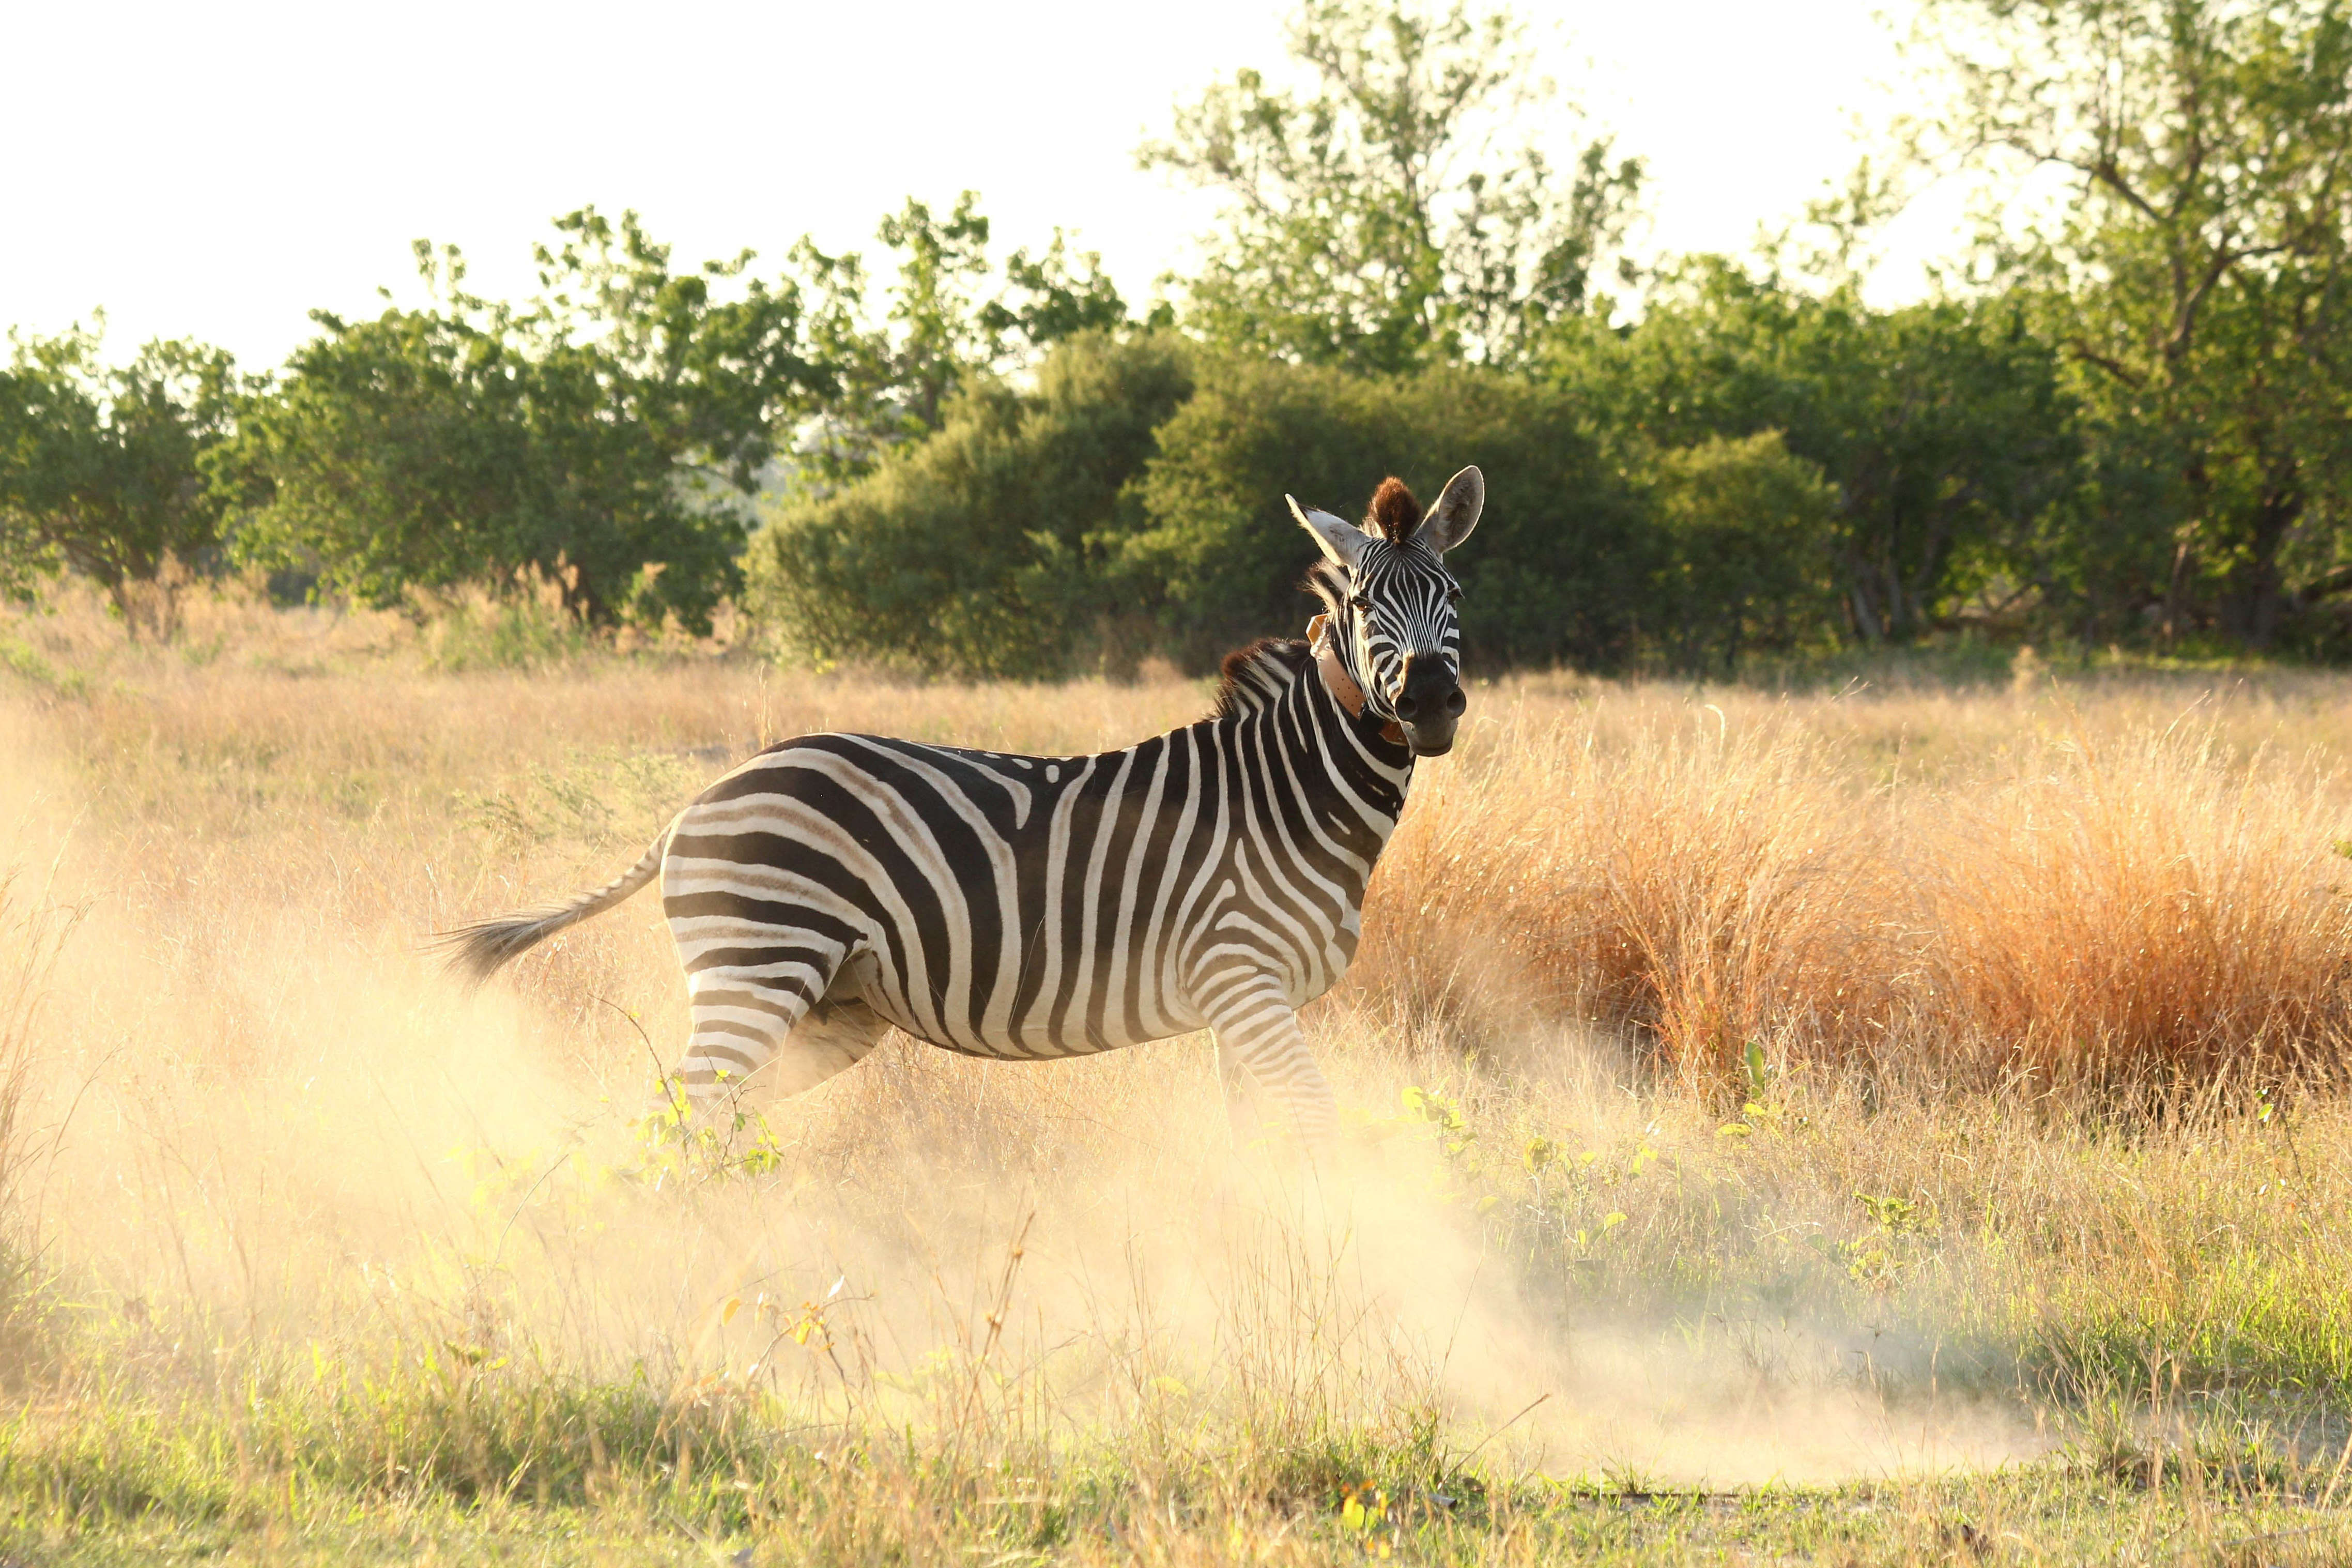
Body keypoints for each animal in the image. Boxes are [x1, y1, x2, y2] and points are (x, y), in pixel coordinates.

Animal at [442, 465, 1486, 1151]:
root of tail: (696, 803)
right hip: (760, 961)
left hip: (833, 1002)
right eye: (1363, 601)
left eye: (1452, 592)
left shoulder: (1240, 1004)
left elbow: (1258, 1137)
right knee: (684, 1116)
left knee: (705, 1116)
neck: (1289, 795)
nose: (1432, 699)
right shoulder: (1243, 979)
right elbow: (1315, 1124)